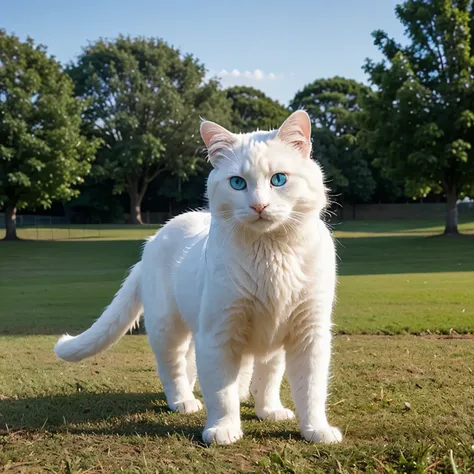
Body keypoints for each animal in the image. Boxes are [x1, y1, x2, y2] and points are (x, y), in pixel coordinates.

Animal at [54, 110, 340, 444]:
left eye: (279, 179)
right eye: (237, 183)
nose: (259, 205)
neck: (272, 255)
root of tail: (152, 241)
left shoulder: (306, 333)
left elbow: (303, 388)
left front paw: (309, 427)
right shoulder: (218, 333)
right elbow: (221, 392)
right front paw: (223, 428)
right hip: (168, 328)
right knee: (174, 368)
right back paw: (183, 401)